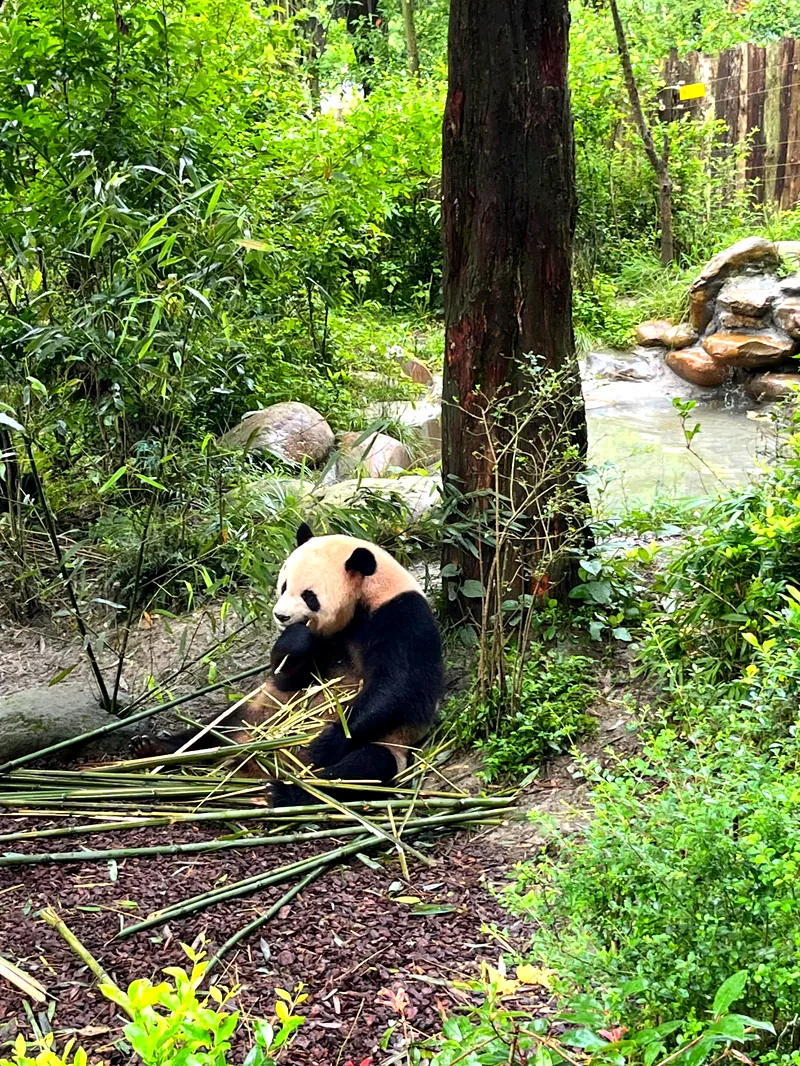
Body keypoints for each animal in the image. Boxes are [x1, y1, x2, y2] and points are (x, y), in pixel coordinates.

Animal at [132, 524, 443, 807]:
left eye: (309, 595)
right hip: (254, 712)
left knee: (364, 768)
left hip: (388, 744)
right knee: (213, 728)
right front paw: (295, 639)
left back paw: (288, 791)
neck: (365, 597)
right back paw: (154, 746)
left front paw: (326, 742)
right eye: (283, 586)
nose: (281, 616)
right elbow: (288, 678)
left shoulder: (401, 618)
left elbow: (397, 687)